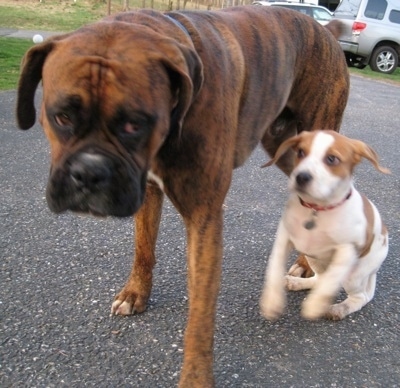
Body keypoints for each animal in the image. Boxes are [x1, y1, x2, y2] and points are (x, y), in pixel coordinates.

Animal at [15, 6, 348, 388]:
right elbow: (144, 248)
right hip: (283, 147)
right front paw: (136, 294)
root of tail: (325, 29)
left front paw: (195, 377)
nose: (88, 172)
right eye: (62, 117)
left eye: (134, 124)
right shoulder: (147, 189)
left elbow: (200, 315)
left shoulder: (204, 218)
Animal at [260, 130, 390, 322]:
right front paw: (272, 301)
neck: (317, 209)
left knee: (360, 297)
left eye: (331, 159)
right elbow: (274, 267)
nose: (301, 177)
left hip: (354, 274)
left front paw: (315, 305)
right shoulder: (284, 237)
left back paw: (339, 308)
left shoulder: (347, 250)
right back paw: (297, 282)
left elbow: (332, 279)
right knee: (319, 279)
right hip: (313, 258)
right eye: (300, 152)